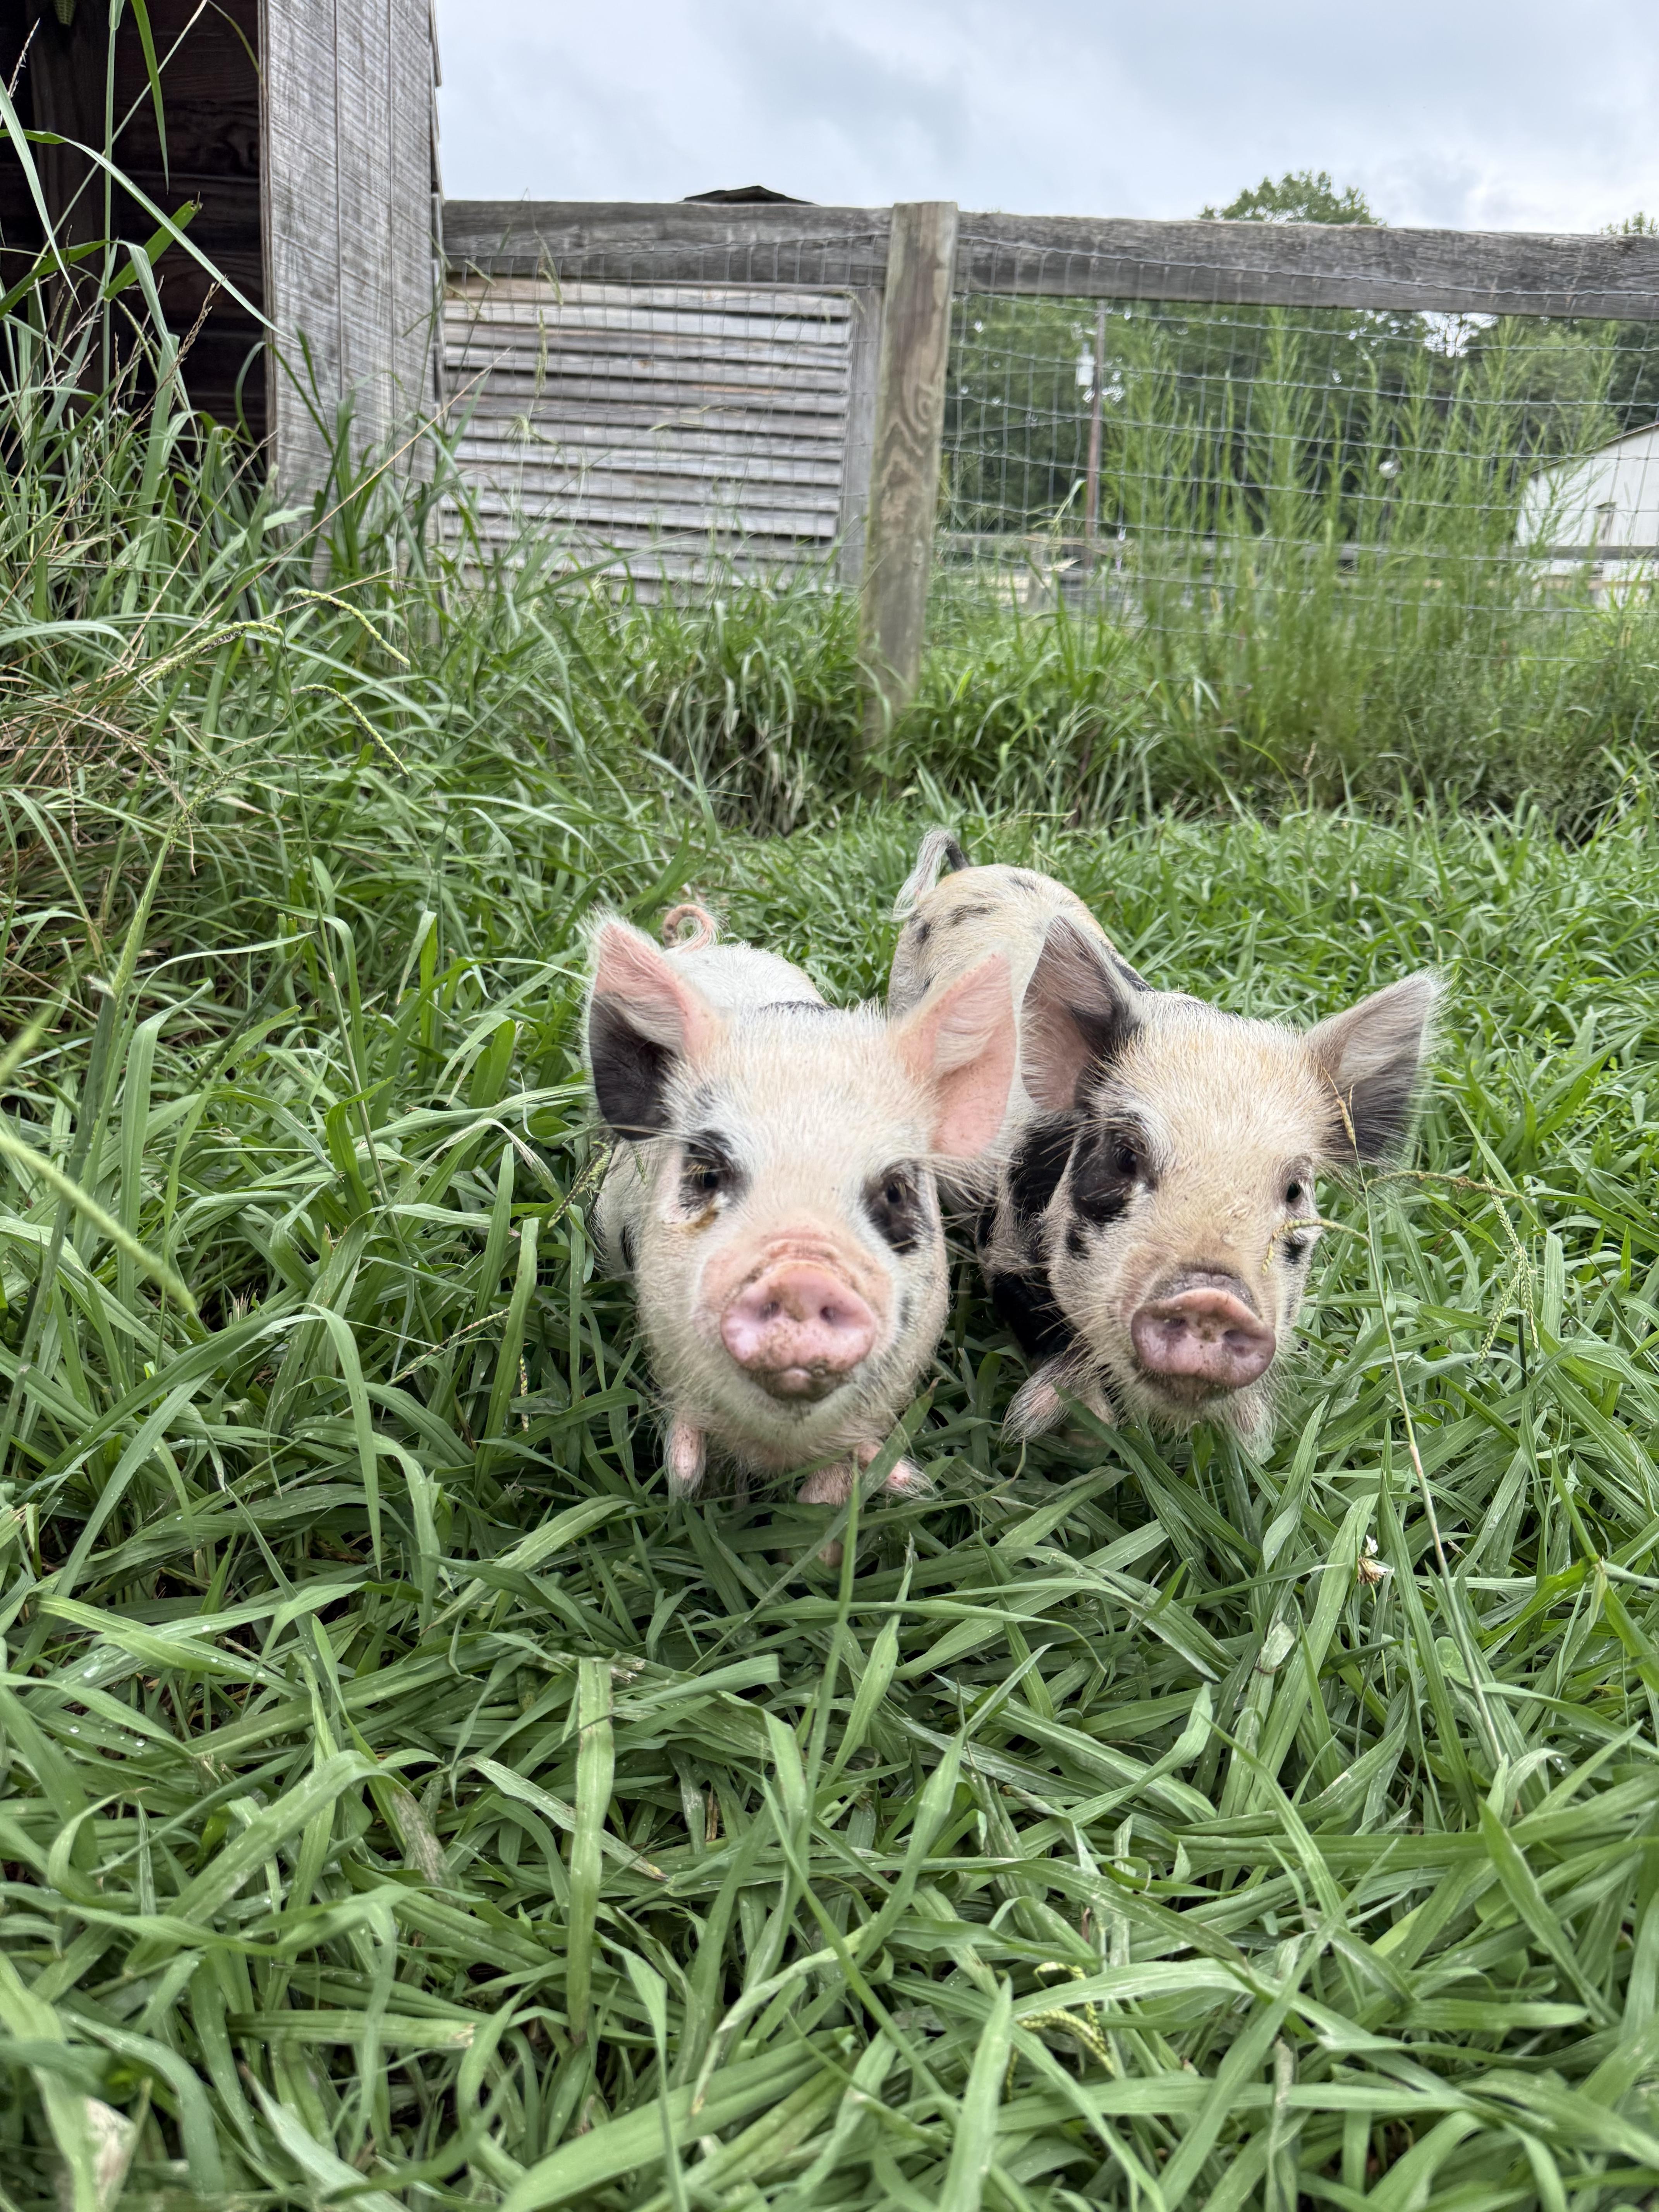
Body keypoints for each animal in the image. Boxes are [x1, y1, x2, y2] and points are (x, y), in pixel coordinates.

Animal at [587, 905, 1016, 1518]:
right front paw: (694, 1497)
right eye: (707, 1173)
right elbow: (687, 1462)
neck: (776, 1452)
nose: (803, 1277)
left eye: (895, 1191)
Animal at [888, 833, 1439, 1447]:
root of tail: (973, 870)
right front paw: (1066, 1430)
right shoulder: (1001, 1245)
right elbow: (1049, 1335)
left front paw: (1251, 1439)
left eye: (1296, 1190)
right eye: (1126, 1157)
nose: (1213, 1298)